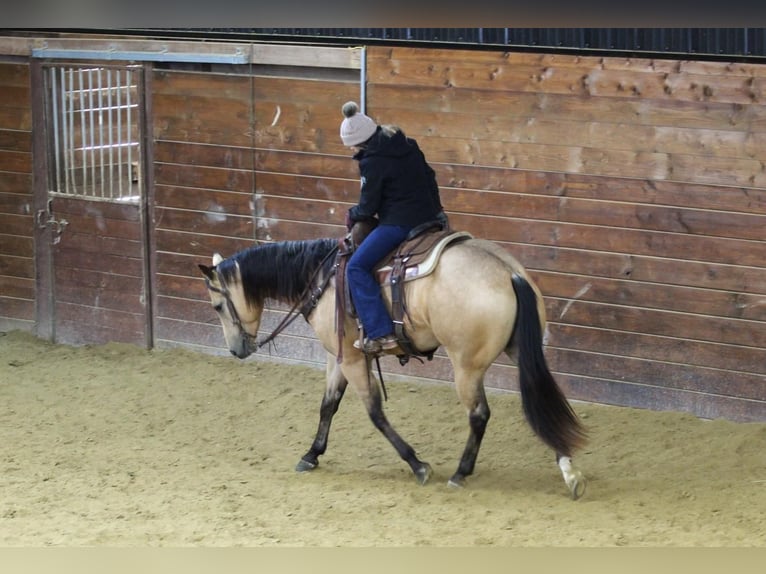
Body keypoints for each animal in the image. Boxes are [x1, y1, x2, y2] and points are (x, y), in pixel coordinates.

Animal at [198, 228, 588, 500]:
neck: (323, 279)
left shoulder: (353, 359)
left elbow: (374, 412)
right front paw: (311, 454)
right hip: (519, 351)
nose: (236, 350)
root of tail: (509, 272)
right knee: (540, 402)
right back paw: (568, 471)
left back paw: (460, 473)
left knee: (479, 414)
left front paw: (418, 465)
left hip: (466, 366)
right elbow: (328, 405)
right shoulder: (339, 356)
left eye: (217, 306)